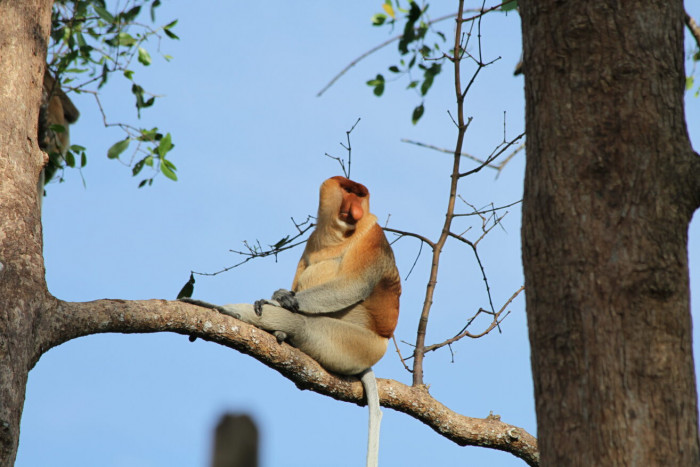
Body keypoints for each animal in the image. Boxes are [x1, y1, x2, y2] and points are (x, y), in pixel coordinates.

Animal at [182, 176, 400, 467]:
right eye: (348, 191)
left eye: (359, 194)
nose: (355, 210)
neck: (336, 236)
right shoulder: (312, 241)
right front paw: (279, 297)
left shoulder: (372, 236)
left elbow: (352, 284)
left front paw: (275, 301)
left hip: (358, 345)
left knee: (304, 324)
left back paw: (226, 311)